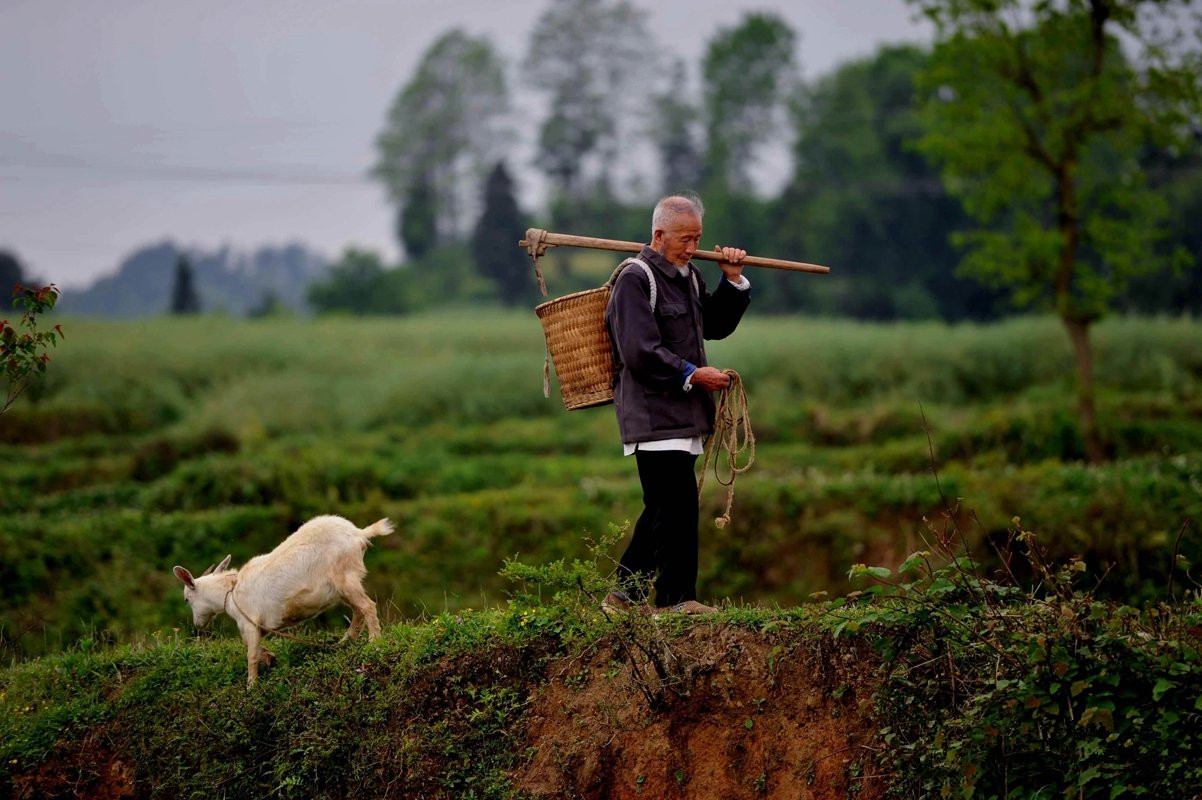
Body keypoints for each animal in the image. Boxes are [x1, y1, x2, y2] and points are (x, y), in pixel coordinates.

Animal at [171, 514, 394, 682]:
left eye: (186, 599)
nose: (198, 625)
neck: (231, 592)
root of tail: (359, 533)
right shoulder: (258, 625)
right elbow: (250, 645)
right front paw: (270, 658)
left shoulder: (249, 622)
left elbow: (250, 653)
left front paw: (251, 686)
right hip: (344, 586)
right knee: (358, 609)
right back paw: (346, 641)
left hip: (344, 577)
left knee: (367, 606)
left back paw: (374, 642)